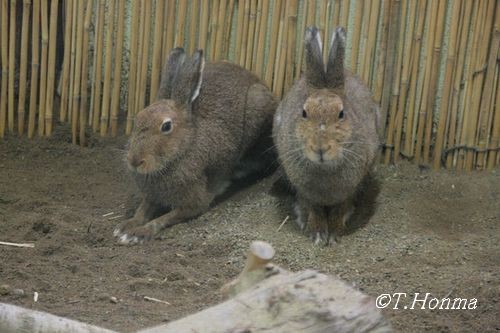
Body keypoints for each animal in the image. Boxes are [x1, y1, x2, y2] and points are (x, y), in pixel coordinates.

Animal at [114, 47, 278, 244]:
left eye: (166, 126)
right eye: (137, 118)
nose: (135, 161)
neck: (182, 150)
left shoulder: (193, 203)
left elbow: (164, 218)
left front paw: (138, 233)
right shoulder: (152, 196)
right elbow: (143, 211)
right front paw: (125, 226)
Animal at [274, 26, 378, 244]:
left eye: (341, 113)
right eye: (304, 113)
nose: (320, 148)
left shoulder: (349, 191)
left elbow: (341, 209)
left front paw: (335, 234)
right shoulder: (306, 193)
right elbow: (313, 209)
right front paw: (317, 233)